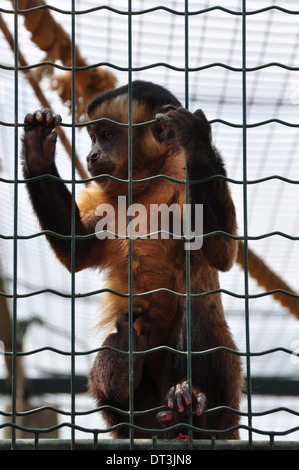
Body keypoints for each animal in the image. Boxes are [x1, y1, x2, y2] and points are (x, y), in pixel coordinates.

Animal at [21, 81, 243, 440]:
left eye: (107, 136)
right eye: (93, 137)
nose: (91, 155)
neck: (148, 179)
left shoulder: (181, 173)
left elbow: (221, 251)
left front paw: (197, 140)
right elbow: (77, 249)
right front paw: (37, 153)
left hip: (228, 391)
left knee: (194, 302)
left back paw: (189, 405)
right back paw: (127, 373)